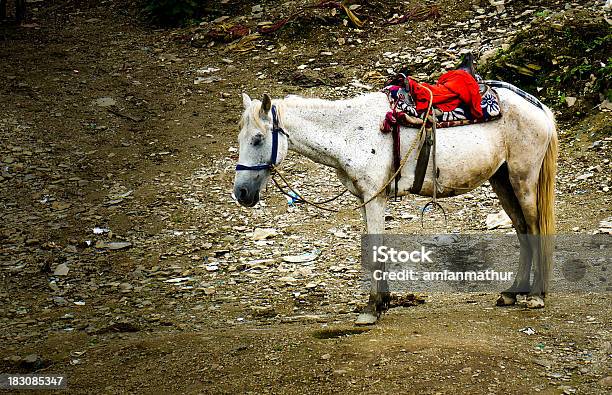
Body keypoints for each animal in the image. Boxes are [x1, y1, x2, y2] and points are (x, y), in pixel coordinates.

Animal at [232, 86, 556, 324]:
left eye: (258, 138)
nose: (242, 193)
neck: (349, 132)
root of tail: (539, 107)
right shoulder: (368, 198)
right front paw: (383, 302)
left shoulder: (375, 196)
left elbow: (376, 248)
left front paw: (371, 309)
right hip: (502, 180)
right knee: (522, 230)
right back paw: (512, 293)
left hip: (522, 179)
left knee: (535, 228)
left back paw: (536, 296)